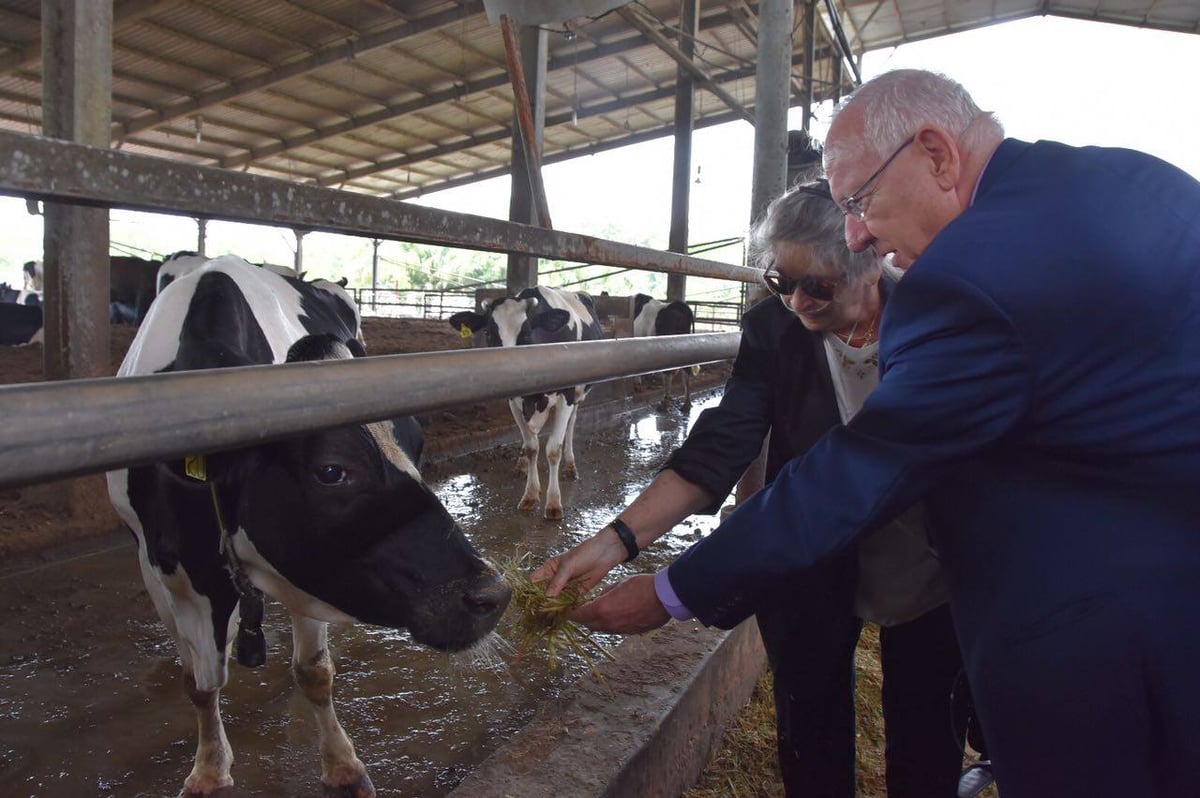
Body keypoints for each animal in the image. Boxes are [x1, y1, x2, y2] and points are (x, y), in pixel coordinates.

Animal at [104, 255, 511, 796]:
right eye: (332, 470)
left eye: (418, 443)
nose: (493, 595)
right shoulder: (163, 568)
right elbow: (199, 683)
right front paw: (209, 768)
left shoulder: (307, 577)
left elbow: (314, 673)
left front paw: (343, 767)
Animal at [448, 286, 604, 523]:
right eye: (489, 334)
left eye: (527, 334)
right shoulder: (514, 401)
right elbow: (532, 447)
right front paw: (530, 494)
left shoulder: (566, 396)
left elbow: (553, 449)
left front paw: (553, 503)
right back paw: (521, 464)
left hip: (578, 393)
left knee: (571, 425)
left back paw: (570, 465)